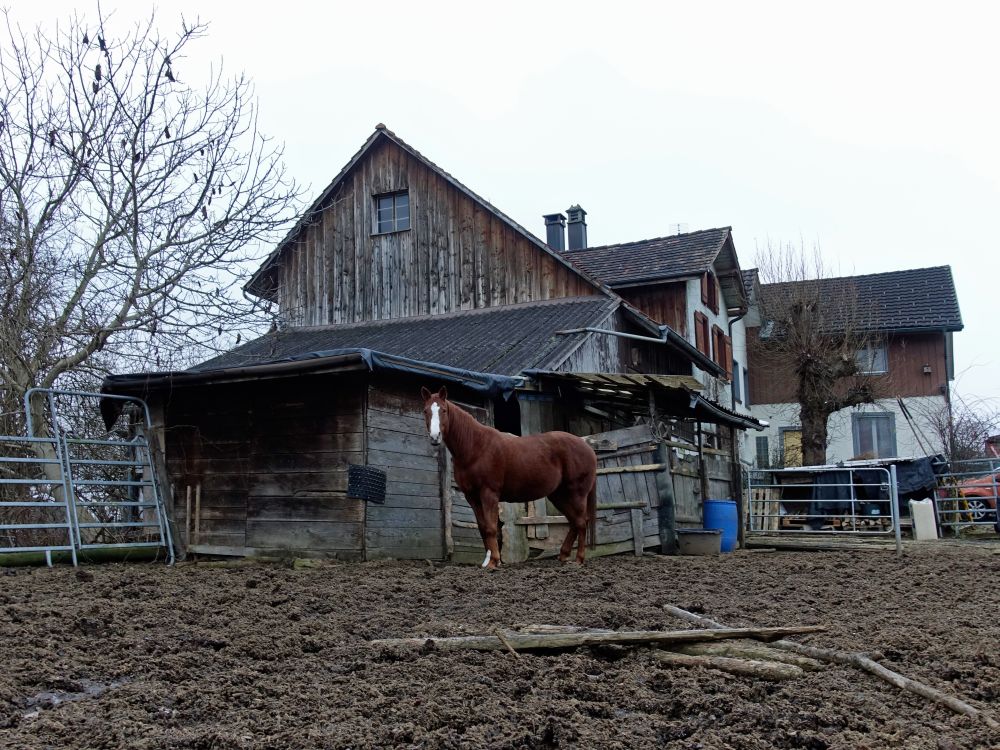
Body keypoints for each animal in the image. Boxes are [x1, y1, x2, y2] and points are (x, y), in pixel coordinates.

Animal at [420, 388, 596, 568]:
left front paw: (494, 562)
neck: (476, 447)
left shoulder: (489, 493)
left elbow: (491, 528)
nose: (435, 437)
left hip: (577, 493)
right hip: (559, 496)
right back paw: (563, 555)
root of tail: (588, 447)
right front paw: (489, 561)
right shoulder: (472, 497)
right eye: (425, 411)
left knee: (581, 522)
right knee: (574, 521)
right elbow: (483, 527)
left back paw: (578, 559)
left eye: (443, 410)